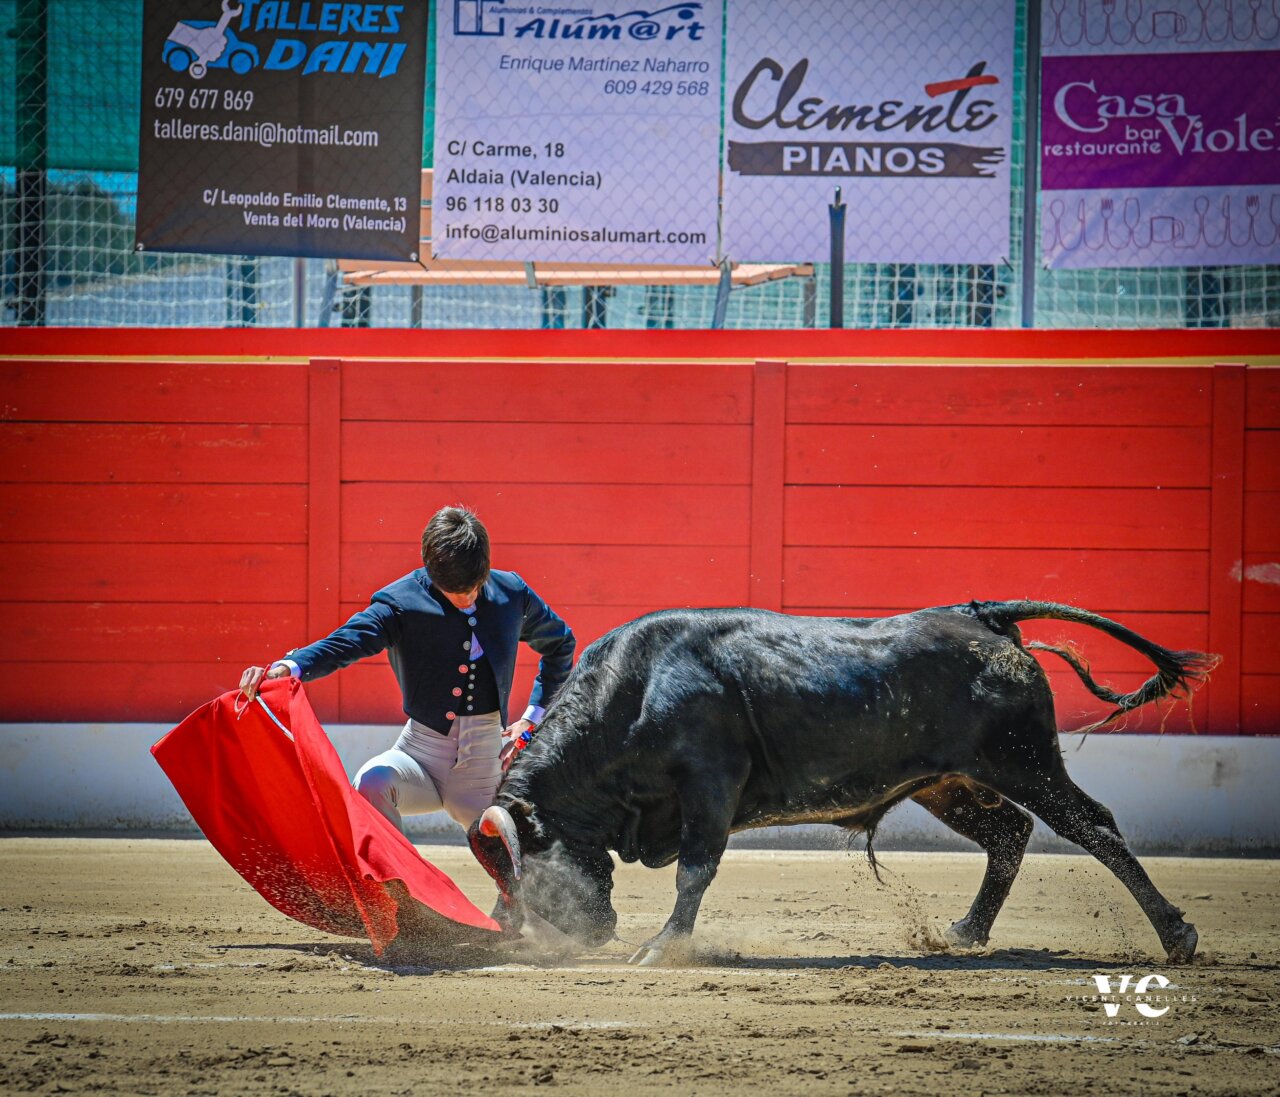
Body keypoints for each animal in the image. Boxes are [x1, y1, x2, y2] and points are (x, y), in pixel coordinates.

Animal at [467, 600, 1216, 966]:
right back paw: (966, 930)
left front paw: (662, 947)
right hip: (947, 781)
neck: (632, 693)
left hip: (1026, 762)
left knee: (1093, 826)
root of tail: (984, 615)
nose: (587, 937)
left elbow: (695, 871)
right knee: (1010, 831)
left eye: (529, 872)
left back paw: (1176, 935)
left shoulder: (709, 784)